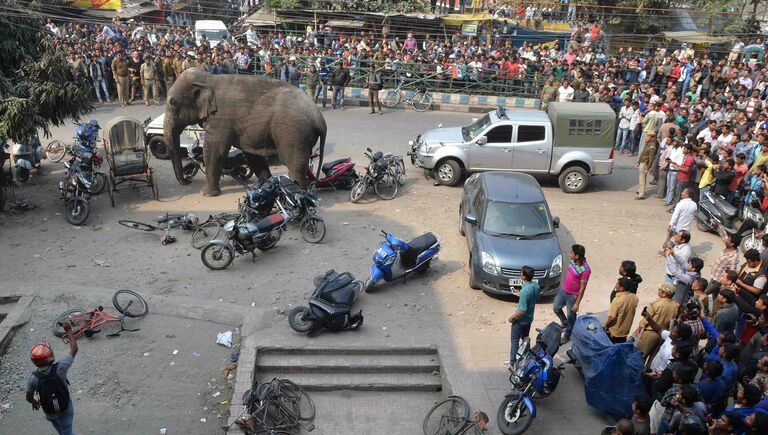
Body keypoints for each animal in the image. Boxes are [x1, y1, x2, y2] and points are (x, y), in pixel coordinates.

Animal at [164, 69, 326, 197]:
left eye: (173, 103)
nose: (188, 178)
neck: (209, 78)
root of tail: (320, 120)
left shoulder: (221, 120)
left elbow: (214, 150)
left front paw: (206, 194)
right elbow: (252, 155)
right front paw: (264, 187)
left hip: (293, 133)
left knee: (294, 164)